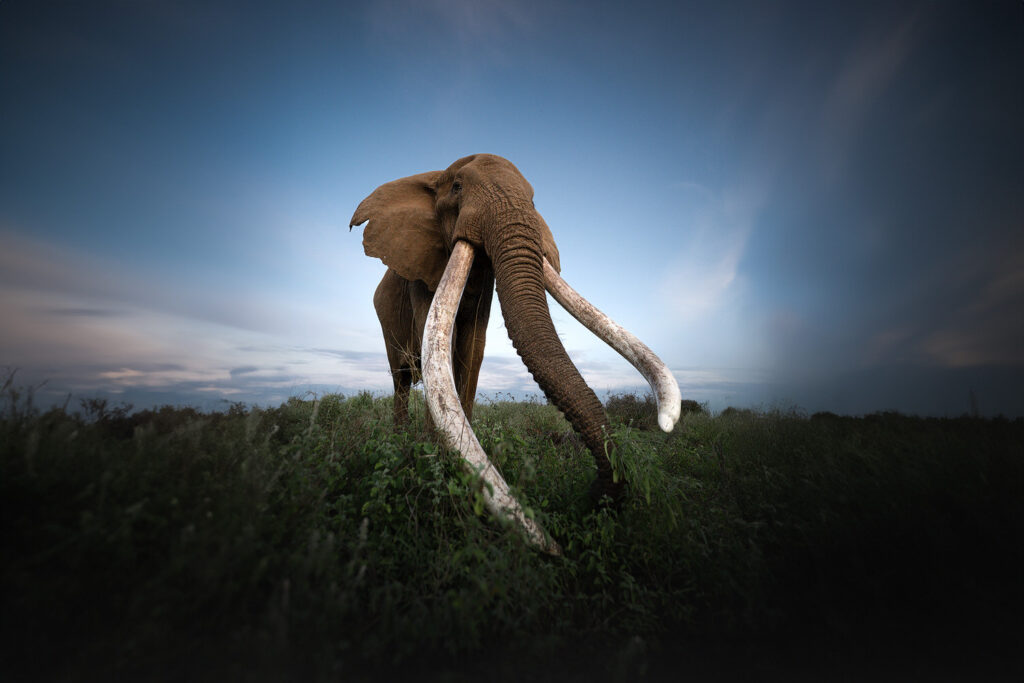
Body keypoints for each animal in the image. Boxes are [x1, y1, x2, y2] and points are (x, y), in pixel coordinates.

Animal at [350, 154, 680, 554]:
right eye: (457, 187)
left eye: (535, 202)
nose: (590, 499)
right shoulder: (420, 266)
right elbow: (441, 342)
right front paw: (434, 465)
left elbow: (473, 348)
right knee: (400, 380)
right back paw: (399, 441)